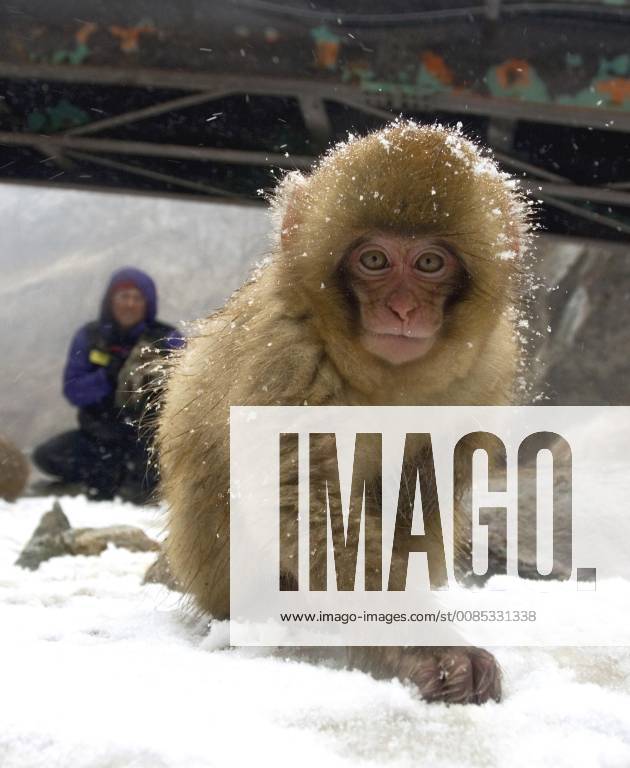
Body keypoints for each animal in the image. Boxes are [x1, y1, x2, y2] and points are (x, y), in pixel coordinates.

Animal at [157, 120, 530, 705]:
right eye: (373, 260)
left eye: (430, 263)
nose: (402, 309)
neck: (386, 378)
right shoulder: (285, 356)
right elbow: (305, 502)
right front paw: (425, 645)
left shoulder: (488, 368)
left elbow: (422, 494)